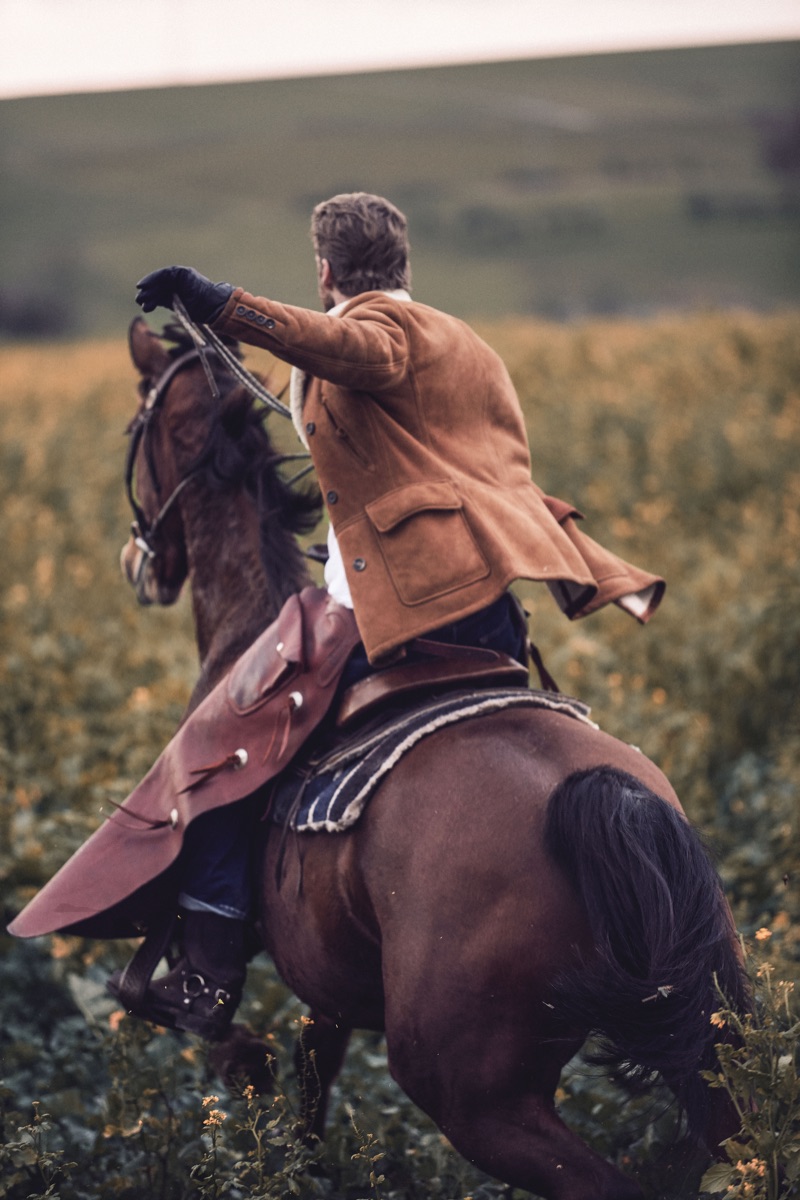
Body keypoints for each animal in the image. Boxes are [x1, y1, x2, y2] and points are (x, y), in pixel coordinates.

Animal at [122, 316, 748, 1200]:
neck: (249, 629)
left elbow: (219, 1026)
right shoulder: (328, 979)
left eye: (133, 429)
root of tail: (606, 799)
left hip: (471, 1094)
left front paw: (243, 1063)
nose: (146, 563)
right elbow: (314, 1077)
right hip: (713, 1038)